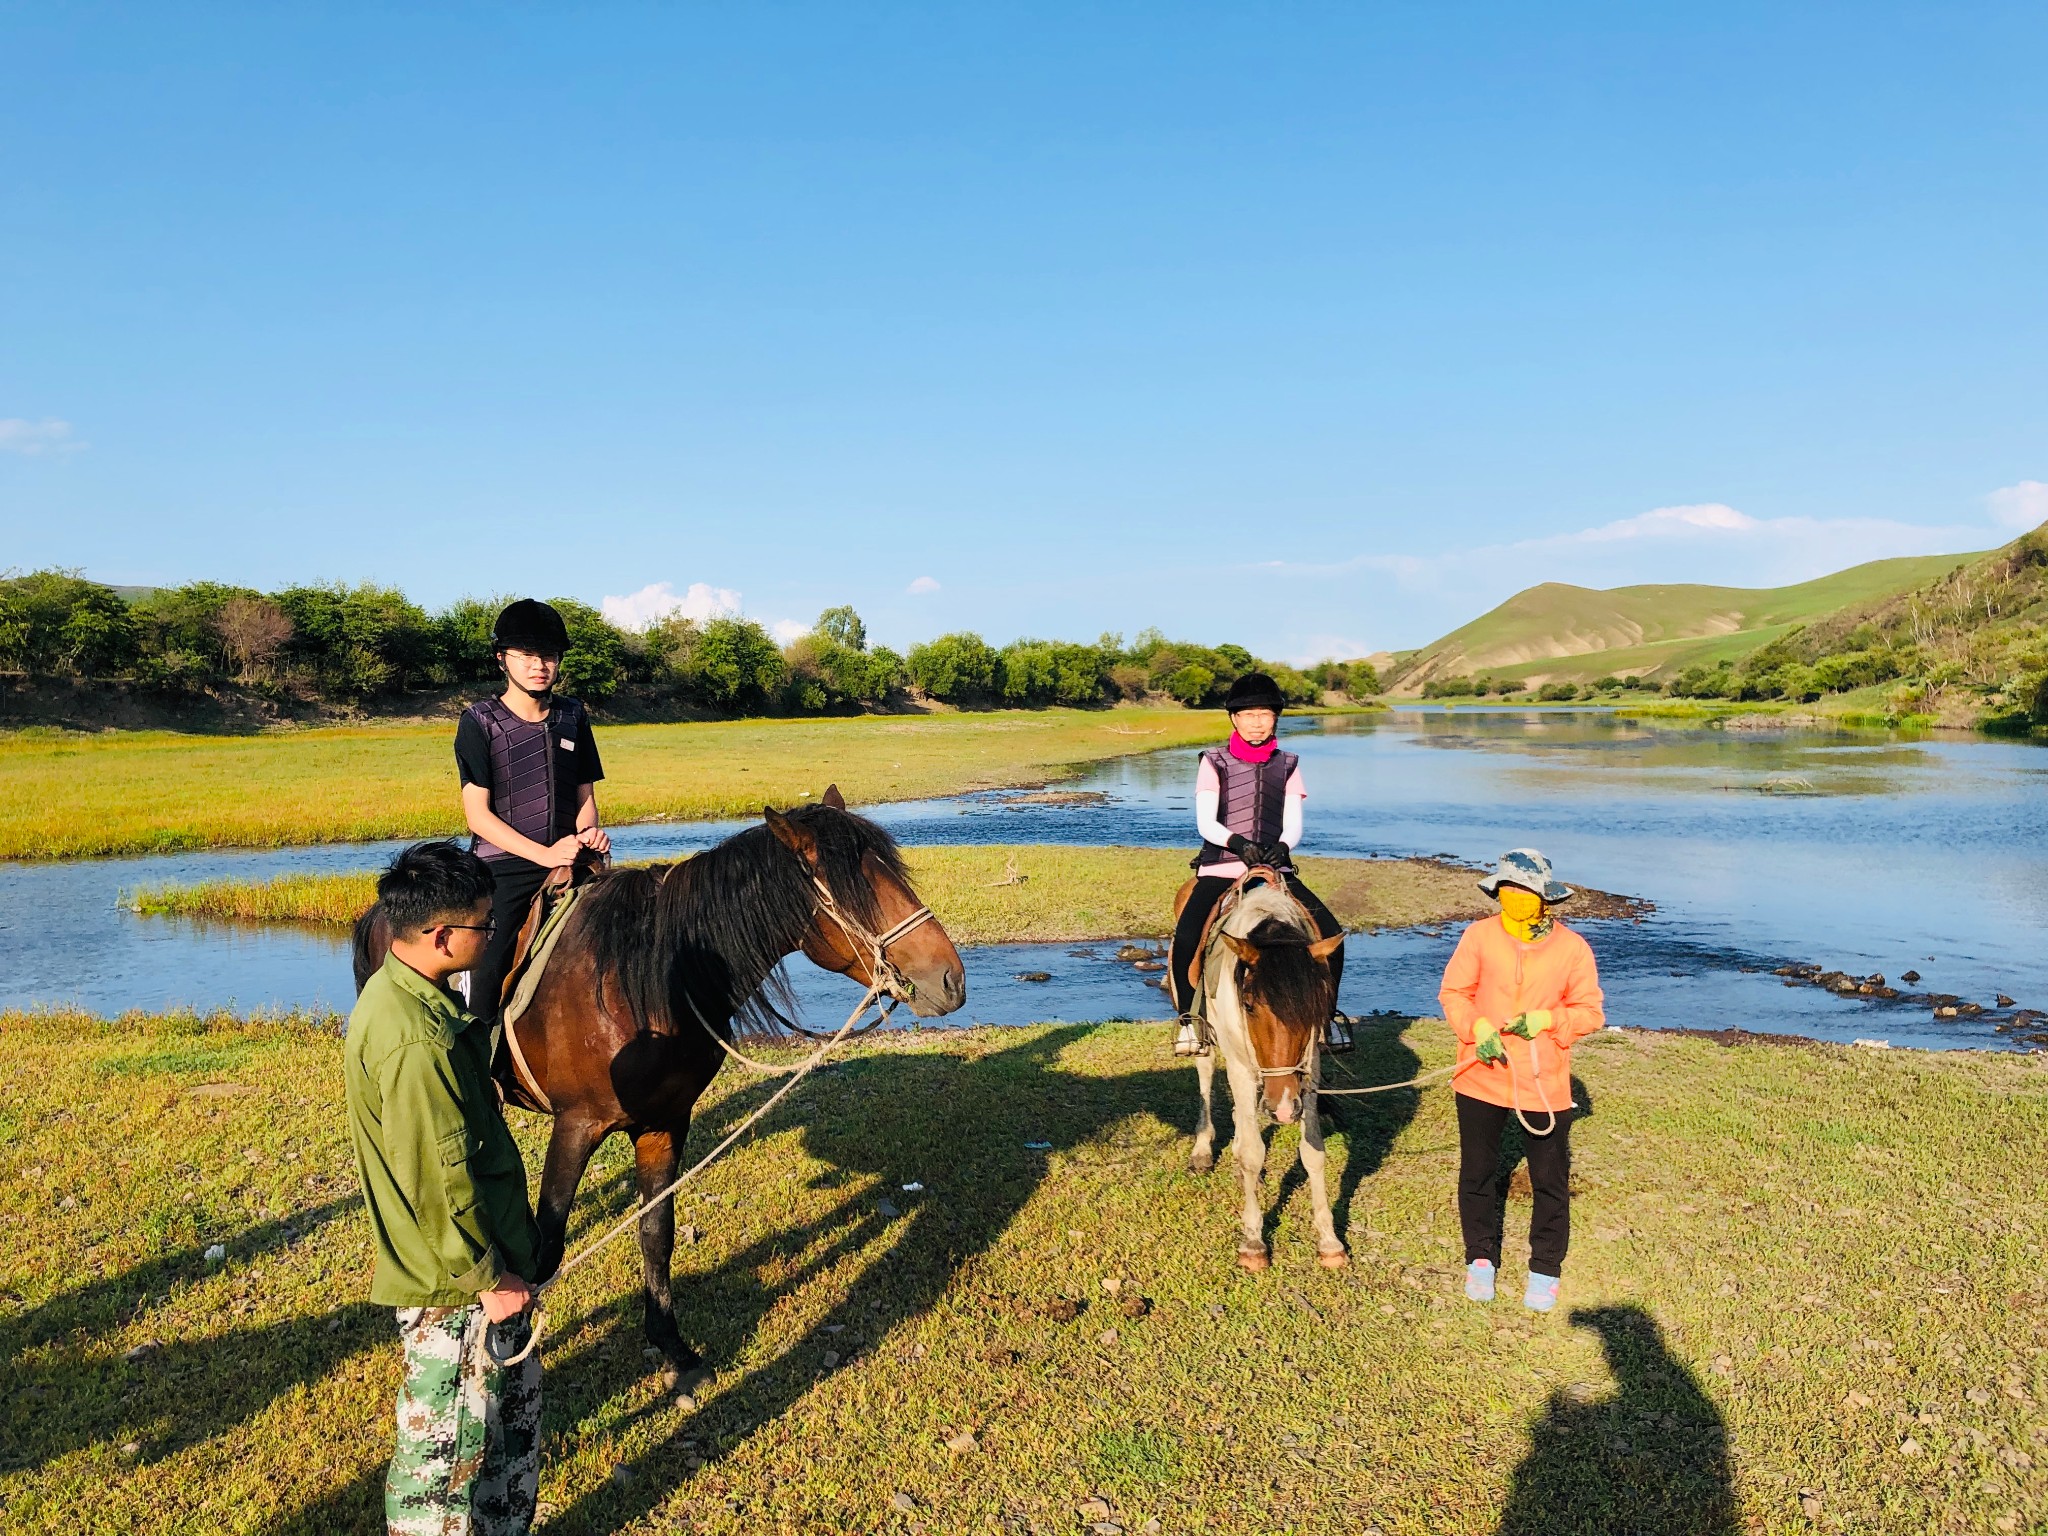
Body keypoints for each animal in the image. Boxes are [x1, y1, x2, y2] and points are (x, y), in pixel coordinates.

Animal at [352, 786, 958, 1392]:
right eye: (860, 891)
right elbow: (546, 1246)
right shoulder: (577, 1125)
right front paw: (514, 1347)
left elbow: (656, 1233)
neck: (645, 980)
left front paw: (672, 1350)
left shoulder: (665, 1123)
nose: (951, 979)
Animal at [1179, 876, 1351, 1277]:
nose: (1284, 1109)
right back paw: (1203, 1148)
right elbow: (1252, 1153)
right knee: (1206, 1073)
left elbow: (1313, 1151)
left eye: (1316, 1005)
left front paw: (1329, 1241)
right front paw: (1253, 1243)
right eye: (1249, 1004)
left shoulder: (1308, 1069)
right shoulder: (1242, 1067)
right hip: (1209, 1041)